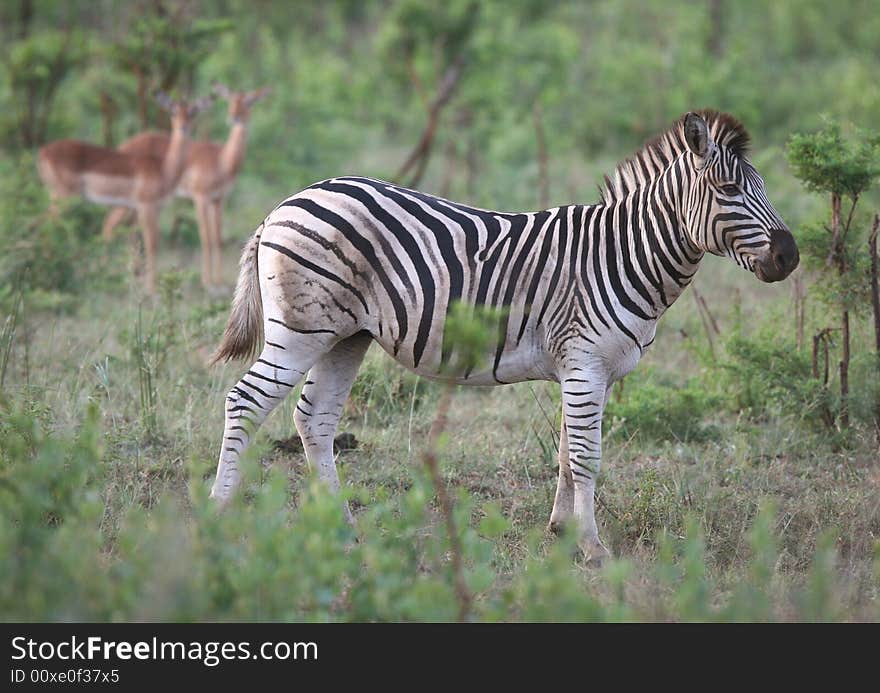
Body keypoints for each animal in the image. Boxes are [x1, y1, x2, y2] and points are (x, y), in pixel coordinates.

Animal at [35, 92, 215, 292]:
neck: (163, 169)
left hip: (56, 196)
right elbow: (152, 243)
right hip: (65, 197)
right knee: (48, 224)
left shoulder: (151, 208)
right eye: (173, 111)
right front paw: (151, 289)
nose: (183, 128)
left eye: (193, 111)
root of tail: (43, 152)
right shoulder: (146, 207)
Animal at [102, 84, 268, 290]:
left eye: (248, 102)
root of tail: (123, 147)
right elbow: (206, 237)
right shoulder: (200, 197)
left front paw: (219, 281)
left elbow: (217, 237)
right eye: (230, 100)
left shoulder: (218, 199)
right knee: (109, 224)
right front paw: (208, 282)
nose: (234, 116)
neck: (222, 159)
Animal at [211, 109, 796, 564]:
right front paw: (594, 549)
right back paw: (218, 514)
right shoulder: (585, 364)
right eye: (729, 190)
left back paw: (342, 529)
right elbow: (586, 456)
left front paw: (562, 533)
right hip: (301, 328)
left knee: (314, 419)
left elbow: (566, 453)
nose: (789, 257)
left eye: (765, 187)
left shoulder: (589, 370)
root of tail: (285, 203)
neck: (623, 254)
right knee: (245, 400)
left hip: (344, 335)